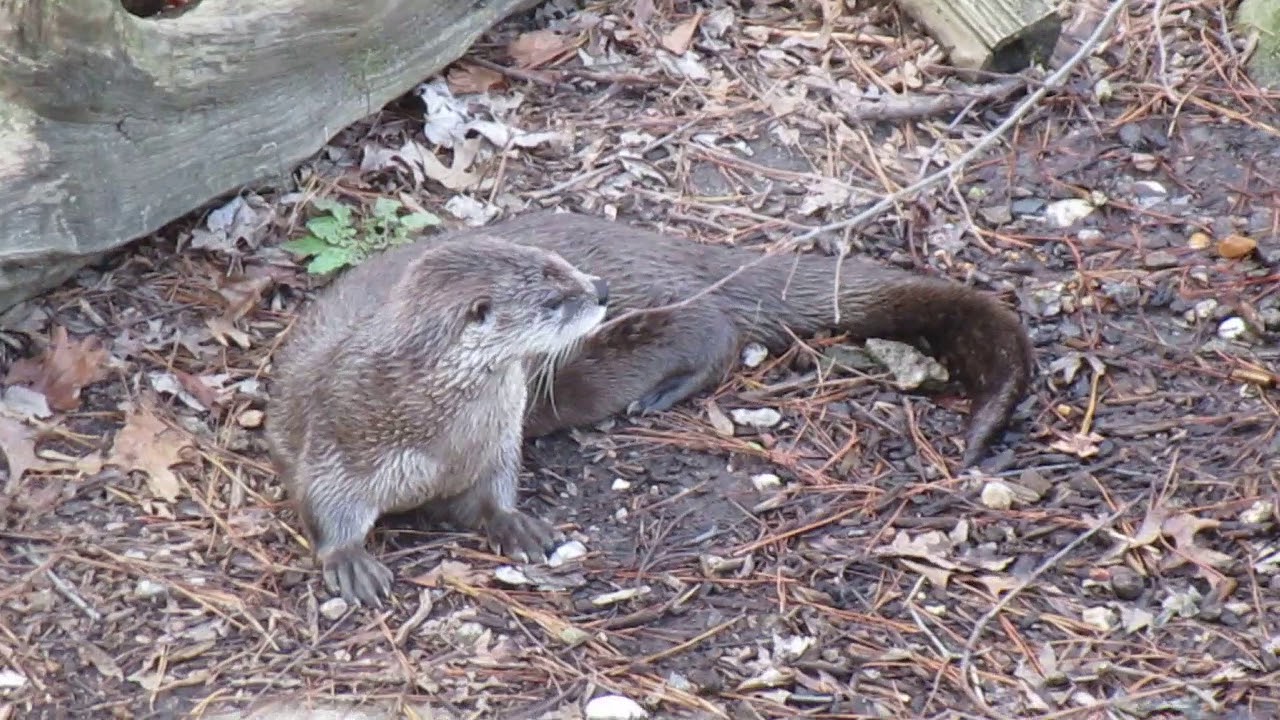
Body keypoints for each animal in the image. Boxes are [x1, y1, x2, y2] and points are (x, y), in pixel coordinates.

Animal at [265, 236, 609, 607]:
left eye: (563, 263)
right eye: (553, 302)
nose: (602, 290)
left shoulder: (498, 443)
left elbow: (494, 489)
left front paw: (514, 524)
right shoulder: (340, 431)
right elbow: (322, 497)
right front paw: (348, 560)